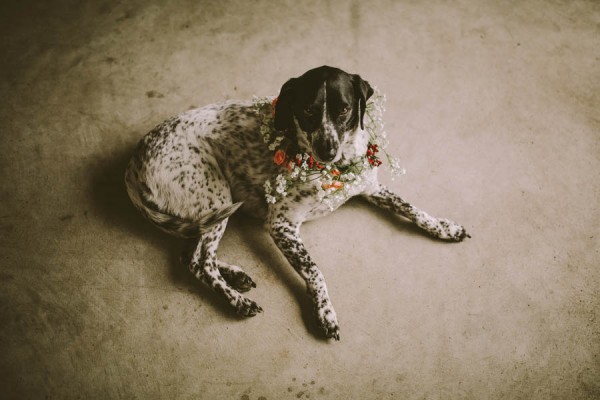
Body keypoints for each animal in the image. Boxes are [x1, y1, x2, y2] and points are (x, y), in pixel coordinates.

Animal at [123, 66, 468, 340]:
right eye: (308, 110)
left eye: (344, 109)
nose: (327, 150)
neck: (337, 168)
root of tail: (134, 163)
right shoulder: (281, 225)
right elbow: (315, 271)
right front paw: (325, 312)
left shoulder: (371, 187)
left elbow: (412, 209)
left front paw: (444, 227)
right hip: (217, 198)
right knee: (199, 263)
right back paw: (237, 300)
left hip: (209, 212)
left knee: (188, 255)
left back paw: (235, 274)